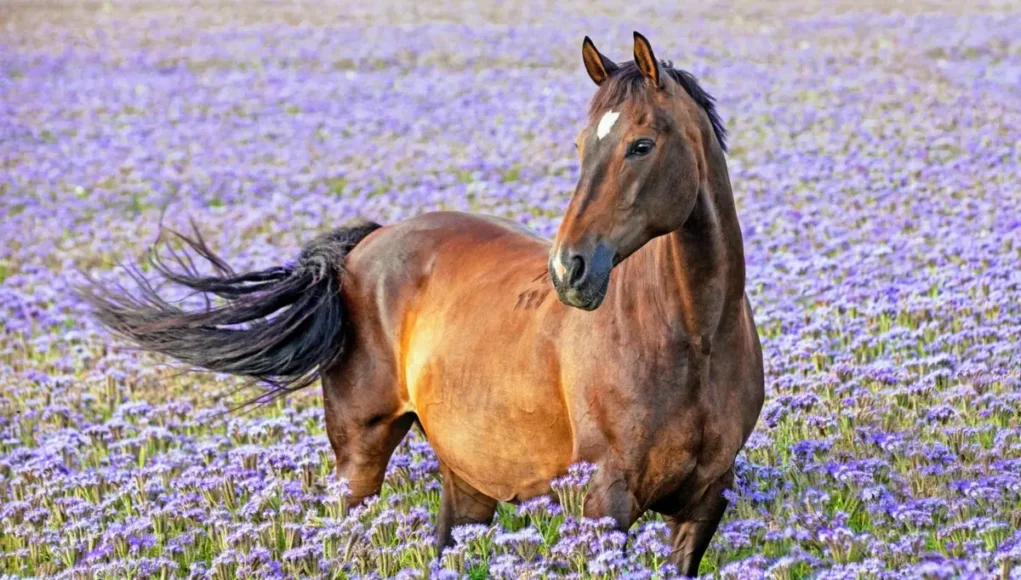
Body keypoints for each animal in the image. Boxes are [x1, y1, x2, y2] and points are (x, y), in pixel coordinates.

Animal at [77, 32, 765, 576]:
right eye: (580, 147)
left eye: (641, 145)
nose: (568, 268)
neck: (693, 334)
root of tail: (370, 241)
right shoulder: (604, 503)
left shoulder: (703, 506)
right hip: (359, 457)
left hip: (468, 476)